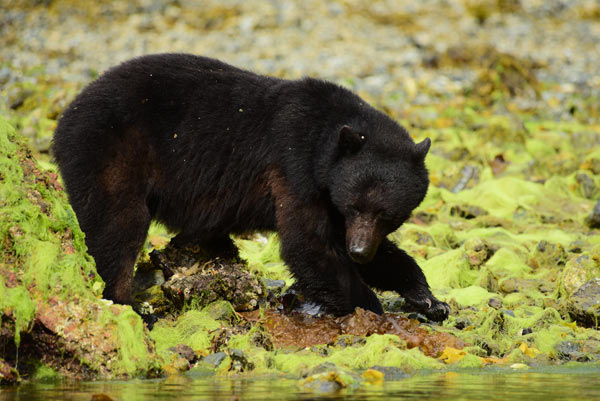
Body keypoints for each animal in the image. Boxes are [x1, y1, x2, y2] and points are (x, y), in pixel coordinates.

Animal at [54, 54, 450, 322]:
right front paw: (371, 306)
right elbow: (308, 244)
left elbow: (342, 242)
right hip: (110, 152)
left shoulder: (329, 195)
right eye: (355, 205)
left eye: (386, 213)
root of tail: (67, 113)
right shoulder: (294, 170)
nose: (359, 251)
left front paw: (428, 298)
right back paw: (130, 306)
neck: (324, 142)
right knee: (119, 226)